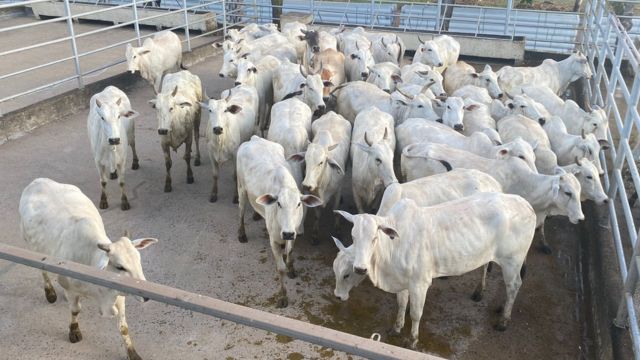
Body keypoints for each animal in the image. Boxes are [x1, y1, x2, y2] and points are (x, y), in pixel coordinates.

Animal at [20, 179, 158, 360]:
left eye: (139, 260)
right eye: (120, 267)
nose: (146, 295)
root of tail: (37, 181)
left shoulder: (119, 295)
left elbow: (123, 327)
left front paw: (132, 353)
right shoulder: (73, 291)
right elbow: (75, 310)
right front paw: (74, 331)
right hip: (33, 247)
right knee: (43, 271)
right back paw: (50, 292)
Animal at [236, 136, 322, 308]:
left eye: (298, 204)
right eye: (279, 204)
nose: (287, 233)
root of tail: (254, 138)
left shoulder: (294, 233)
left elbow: (290, 251)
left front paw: (292, 268)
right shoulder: (274, 240)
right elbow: (280, 268)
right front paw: (283, 297)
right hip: (241, 188)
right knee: (241, 210)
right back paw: (242, 234)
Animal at [288, 111, 352, 243]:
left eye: (321, 162)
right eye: (305, 161)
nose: (306, 185)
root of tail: (332, 113)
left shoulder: (338, 190)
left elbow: (336, 211)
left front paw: (338, 230)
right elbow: (317, 215)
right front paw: (315, 234)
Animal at [332, 194, 536, 348]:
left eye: (374, 238)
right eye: (353, 236)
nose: (338, 296)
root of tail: (526, 204)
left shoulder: (420, 283)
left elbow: (416, 314)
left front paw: (412, 340)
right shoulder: (403, 281)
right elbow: (401, 304)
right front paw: (396, 328)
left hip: (512, 261)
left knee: (514, 285)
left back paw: (504, 320)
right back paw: (484, 295)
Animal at [404, 142, 584, 255]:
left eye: (579, 191)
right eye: (568, 193)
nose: (581, 218)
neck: (527, 184)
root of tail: (415, 148)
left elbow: (541, 226)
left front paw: (545, 245)